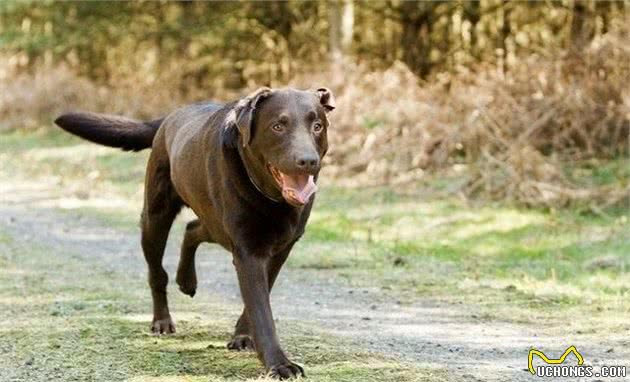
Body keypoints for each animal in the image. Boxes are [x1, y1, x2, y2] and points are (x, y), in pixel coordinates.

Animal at [55, 87, 336, 380]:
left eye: (317, 126)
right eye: (278, 126)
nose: (308, 161)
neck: (272, 198)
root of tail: (170, 116)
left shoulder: (279, 249)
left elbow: (259, 298)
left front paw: (243, 336)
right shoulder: (248, 251)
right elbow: (262, 311)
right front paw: (279, 363)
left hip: (214, 223)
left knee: (192, 229)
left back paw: (187, 280)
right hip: (156, 219)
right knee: (157, 273)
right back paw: (162, 320)